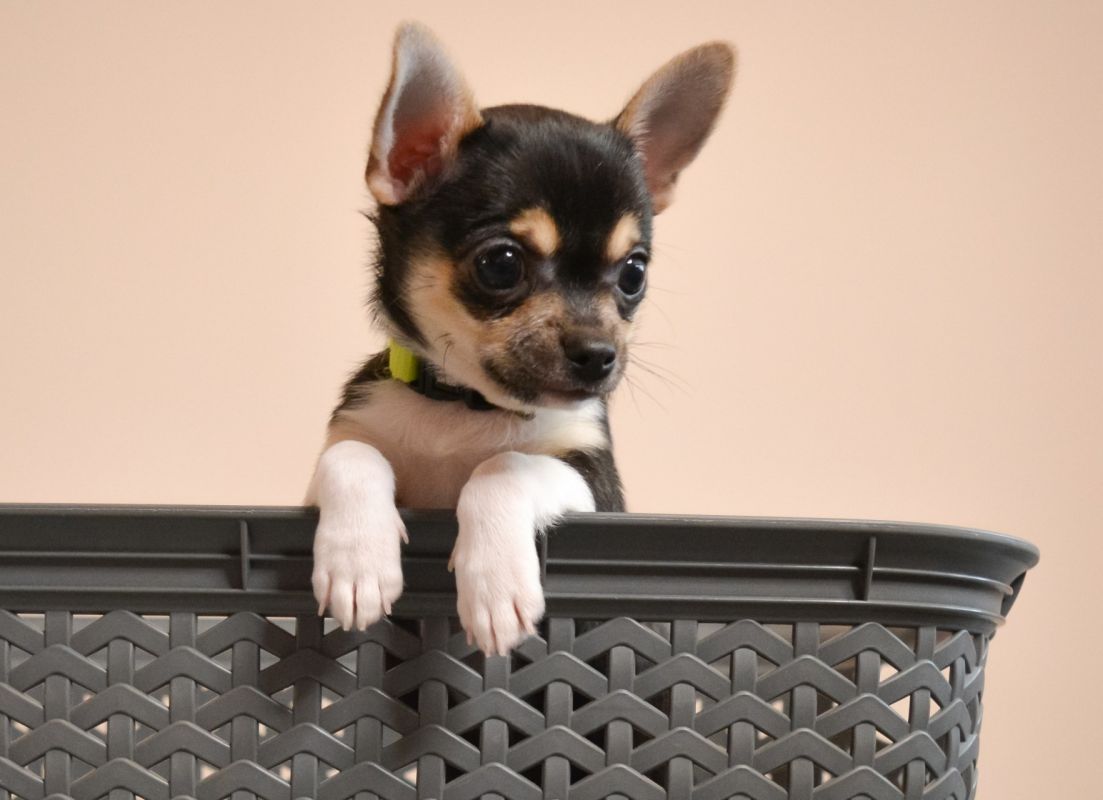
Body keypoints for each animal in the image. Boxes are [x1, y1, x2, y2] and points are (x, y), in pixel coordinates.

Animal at [307, 22, 734, 655]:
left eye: (633, 274)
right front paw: (357, 560)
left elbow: (503, 467)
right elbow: (351, 455)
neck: (465, 408)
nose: (599, 356)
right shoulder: (336, 450)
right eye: (501, 265)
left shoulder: (594, 486)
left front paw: (495, 585)